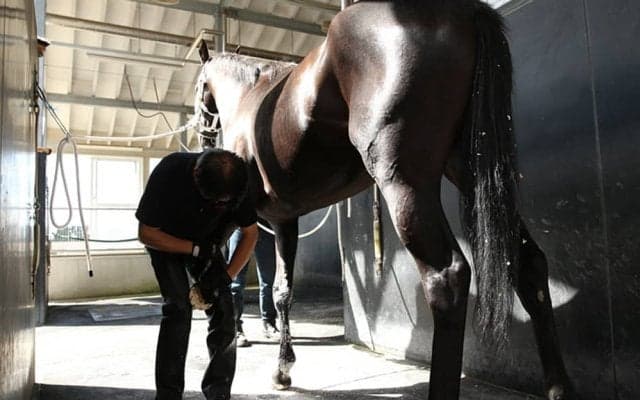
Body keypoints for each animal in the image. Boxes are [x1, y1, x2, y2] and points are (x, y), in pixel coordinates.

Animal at [194, 1, 574, 399]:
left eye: (199, 86)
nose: (202, 137)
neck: (253, 98)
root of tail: (464, 10)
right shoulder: (285, 220)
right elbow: (284, 292)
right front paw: (283, 371)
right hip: (472, 172)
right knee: (529, 264)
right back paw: (558, 387)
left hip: (404, 183)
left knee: (447, 277)